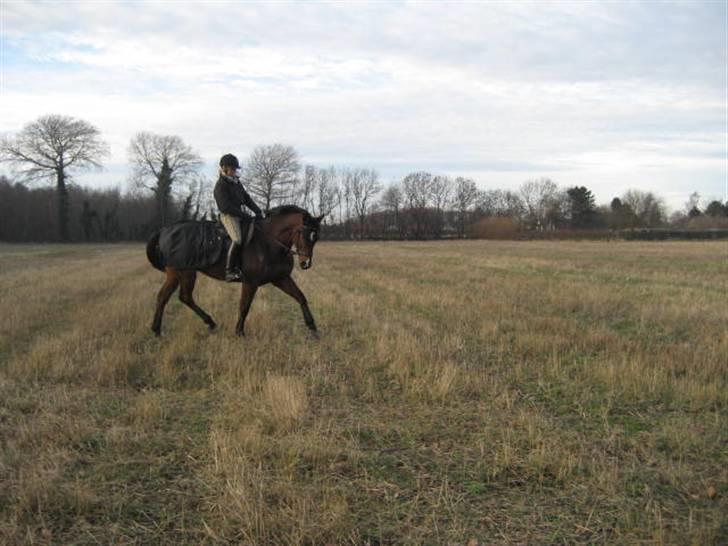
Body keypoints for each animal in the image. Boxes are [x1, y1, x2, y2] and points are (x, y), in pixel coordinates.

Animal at [145, 205, 322, 336]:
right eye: (303, 233)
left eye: (316, 237)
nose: (306, 263)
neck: (269, 242)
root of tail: (164, 230)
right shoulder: (250, 282)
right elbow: (244, 306)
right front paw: (239, 332)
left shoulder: (281, 278)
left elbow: (301, 297)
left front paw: (312, 327)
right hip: (186, 273)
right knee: (183, 297)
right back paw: (208, 323)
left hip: (175, 274)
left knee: (165, 297)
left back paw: (157, 329)